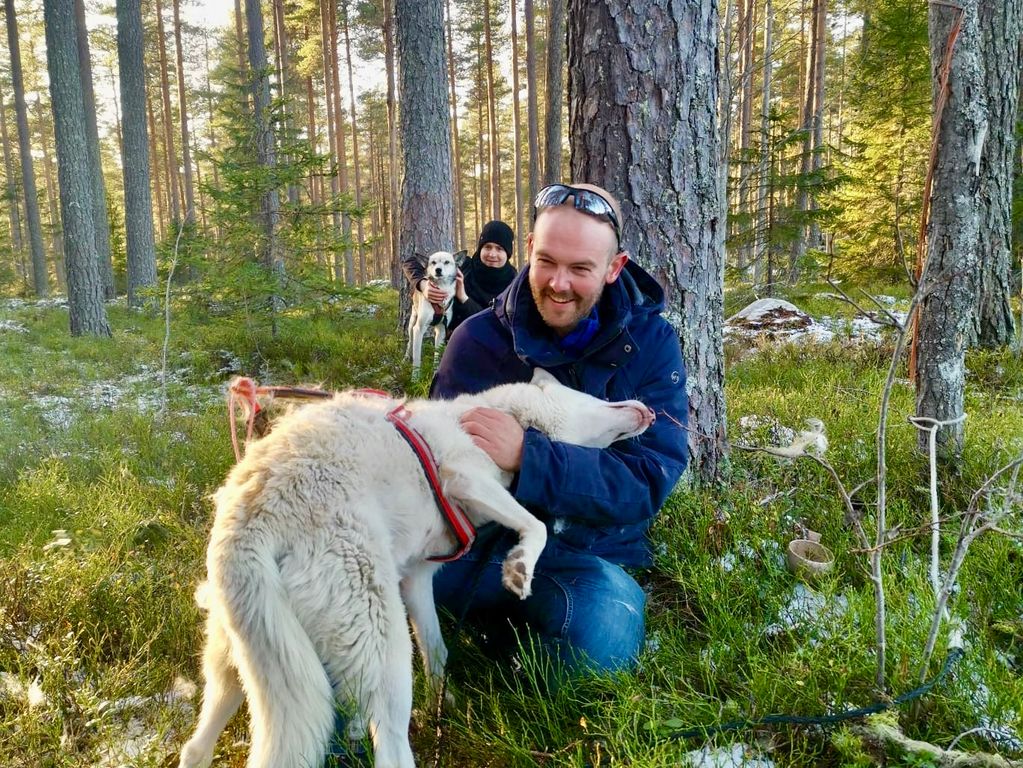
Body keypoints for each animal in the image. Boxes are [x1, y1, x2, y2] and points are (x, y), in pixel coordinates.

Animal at [178, 370, 654, 768]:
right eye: (594, 394)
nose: (649, 411)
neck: (486, 416)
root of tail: (248, 524)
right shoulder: (466, 477)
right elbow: (534, 525)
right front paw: (518, 570)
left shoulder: (418, 578)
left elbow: (438, 651)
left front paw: (444, 704)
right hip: (382, 649)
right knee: (388, 747)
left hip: (243, 666)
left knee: (196, 747)